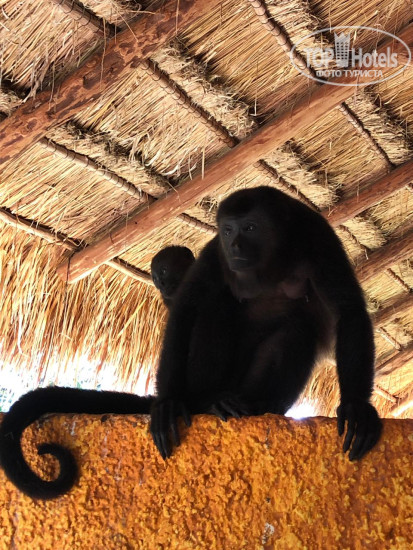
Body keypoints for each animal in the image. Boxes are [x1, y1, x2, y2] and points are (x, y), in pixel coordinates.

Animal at [0, 186, 382, 500]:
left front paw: (356, 408)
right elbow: (187, 309)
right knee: (213, 306)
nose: (235, 246)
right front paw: (167, 402)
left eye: (250, 228)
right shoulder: (213, 253)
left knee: (296, 329)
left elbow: (348, 311)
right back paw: (206, 402)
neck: (273, 260)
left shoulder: (319, 239)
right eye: (228, 230)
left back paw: (256, 404)